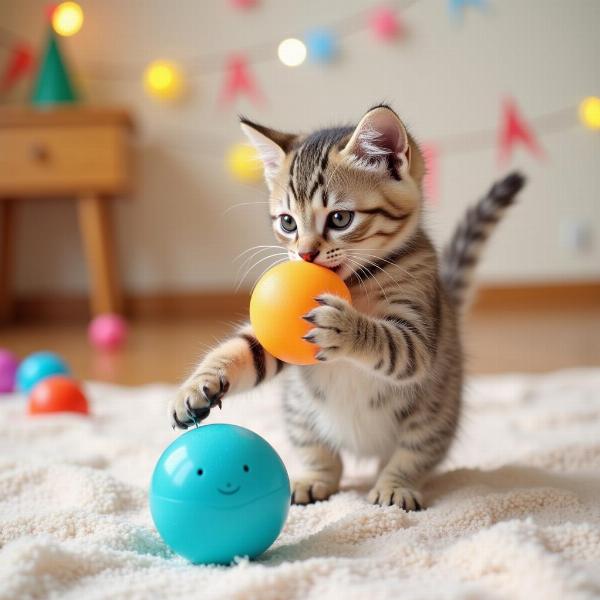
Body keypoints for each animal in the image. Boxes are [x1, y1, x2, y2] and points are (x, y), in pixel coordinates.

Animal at [170, 105, 524, 508]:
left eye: (340, 218)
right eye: (288, 223)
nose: (305, 254)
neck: (356, 283)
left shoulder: (419, 335)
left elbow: (391, 341)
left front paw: (343, 326)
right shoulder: (276, 340)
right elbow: (241, 348)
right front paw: (197, 386)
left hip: (433, 415)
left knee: (412, 456)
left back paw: (394, 487)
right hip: (301, 413)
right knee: (327, 461)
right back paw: (313, 480)